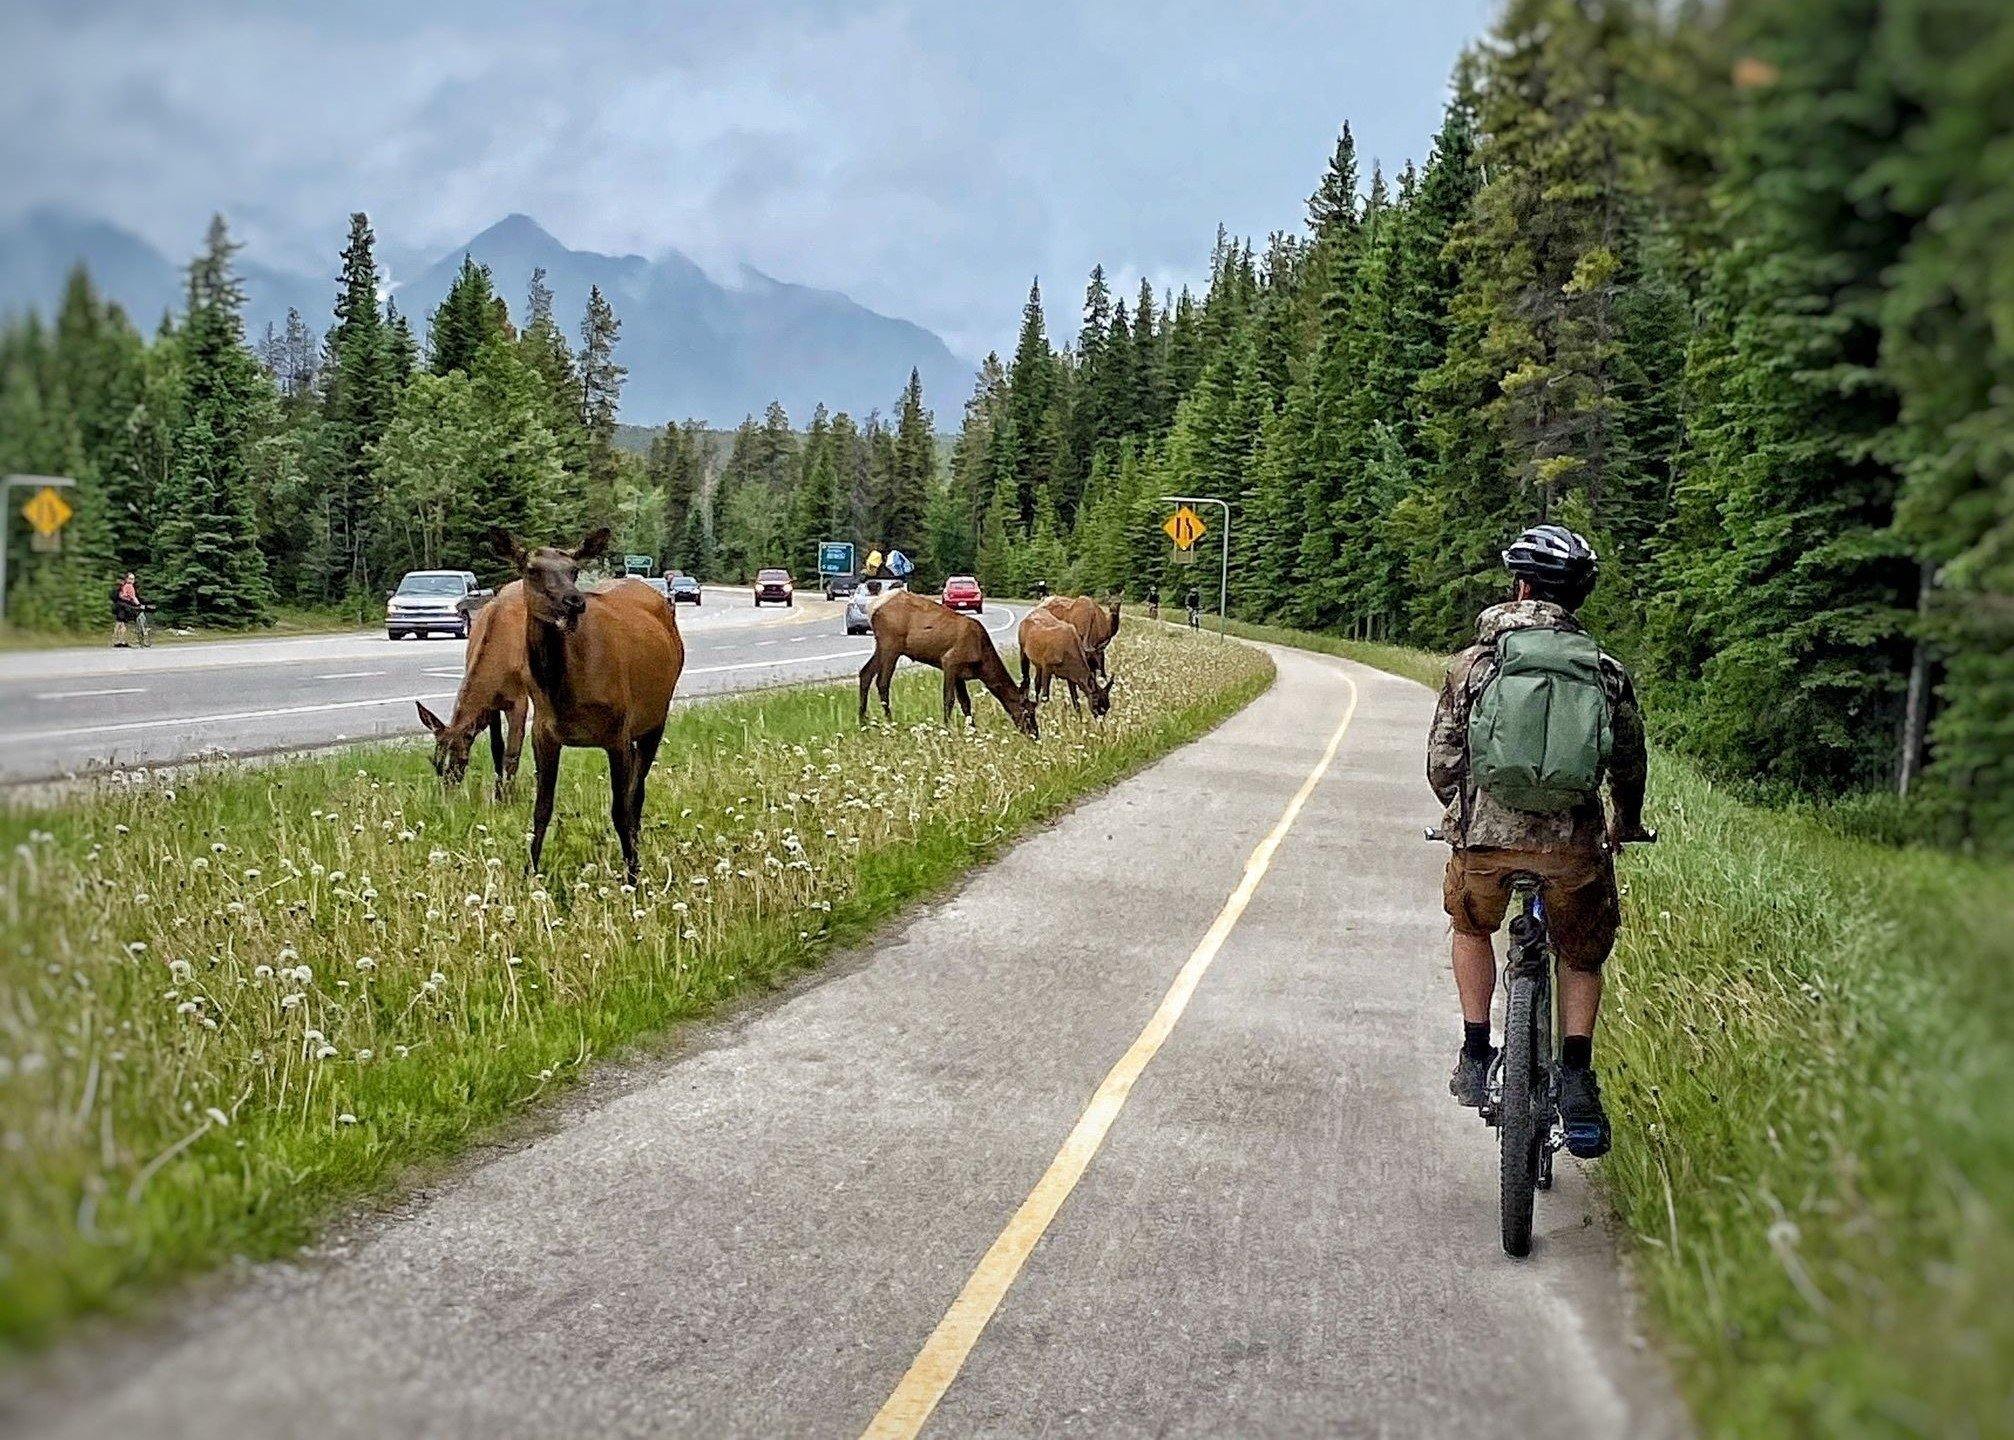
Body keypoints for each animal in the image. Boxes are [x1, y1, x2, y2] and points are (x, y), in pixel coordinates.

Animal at [416, 584, 531, 805]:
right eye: (436, 762)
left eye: (462, 760)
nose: (446, 801)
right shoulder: (492, 705)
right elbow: (497, 748)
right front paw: (497, 796)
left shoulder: (519, 699)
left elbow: (513, 753)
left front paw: (508, 798)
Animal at [487, 527, 684, 886]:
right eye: (532, 570)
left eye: (574, 570)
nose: (574, 602)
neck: (563, 690)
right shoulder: (544, 733)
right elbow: (541, 809)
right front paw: (530, 873)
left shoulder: (617, 732)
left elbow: (620, 809)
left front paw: (633, 876)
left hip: (654, 716)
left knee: (637, 792)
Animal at [857, 592, 1039, 737]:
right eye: (1029, 713)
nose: (1035, 735)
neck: (982, 663)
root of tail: (873, 607)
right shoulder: (950, 662)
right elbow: (949, 699)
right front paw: (947, 729)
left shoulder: (960, 674)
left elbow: (966, 703)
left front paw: (973, 731)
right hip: (891, 645)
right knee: (882, 682)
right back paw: (890, 723)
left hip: (882, 646)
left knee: (865, 673)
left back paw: (863, 721)